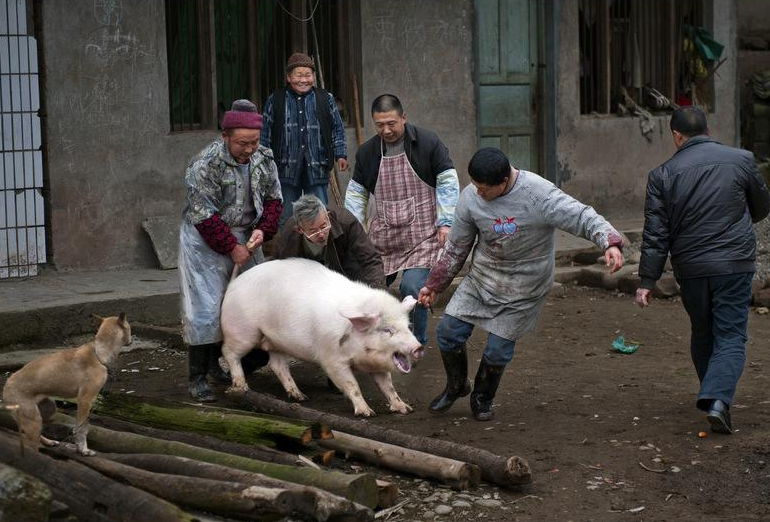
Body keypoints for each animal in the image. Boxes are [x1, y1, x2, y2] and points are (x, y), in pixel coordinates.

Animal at [1, 310, 131, 452]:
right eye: (130, 328)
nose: (131, 339)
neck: (99, 352)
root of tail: (6, 385)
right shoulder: (85, 400)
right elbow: (81, 429)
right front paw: (83, 449)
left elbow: (80, 426)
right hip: (32, 419)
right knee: (31, 442)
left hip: (48, 409)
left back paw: (49, 442)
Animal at [222, 258, 424, 416]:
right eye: (387, 330)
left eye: (408, 326)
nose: (419, 347)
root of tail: (233, 284)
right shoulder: (331, 358)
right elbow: (352, 384)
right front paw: (366, 413)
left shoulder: (377, 365)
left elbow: (388, 386)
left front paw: (406, 409)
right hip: (242, 332)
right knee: (229, 353)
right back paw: (242, 387)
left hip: (276, 341)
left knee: (278, 365)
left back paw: (300, 397)